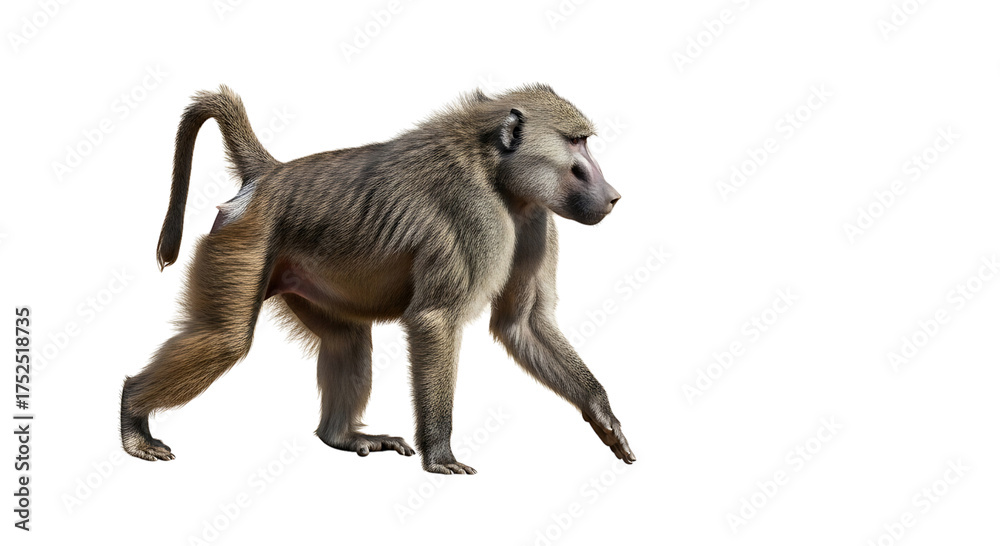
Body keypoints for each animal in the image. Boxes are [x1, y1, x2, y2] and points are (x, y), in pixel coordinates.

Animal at [120, 84, 635, 474]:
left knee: (347, 339)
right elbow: (435, 319)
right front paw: (440, 456)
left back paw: (341, 437)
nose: (612, 196)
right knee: (225, 340)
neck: (497, 171)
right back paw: (132, 416)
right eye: (576, 144)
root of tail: (270, 176)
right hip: (243, 242)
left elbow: (522, 323)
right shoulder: (479, 216)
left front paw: (603, 416)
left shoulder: (535, 221)